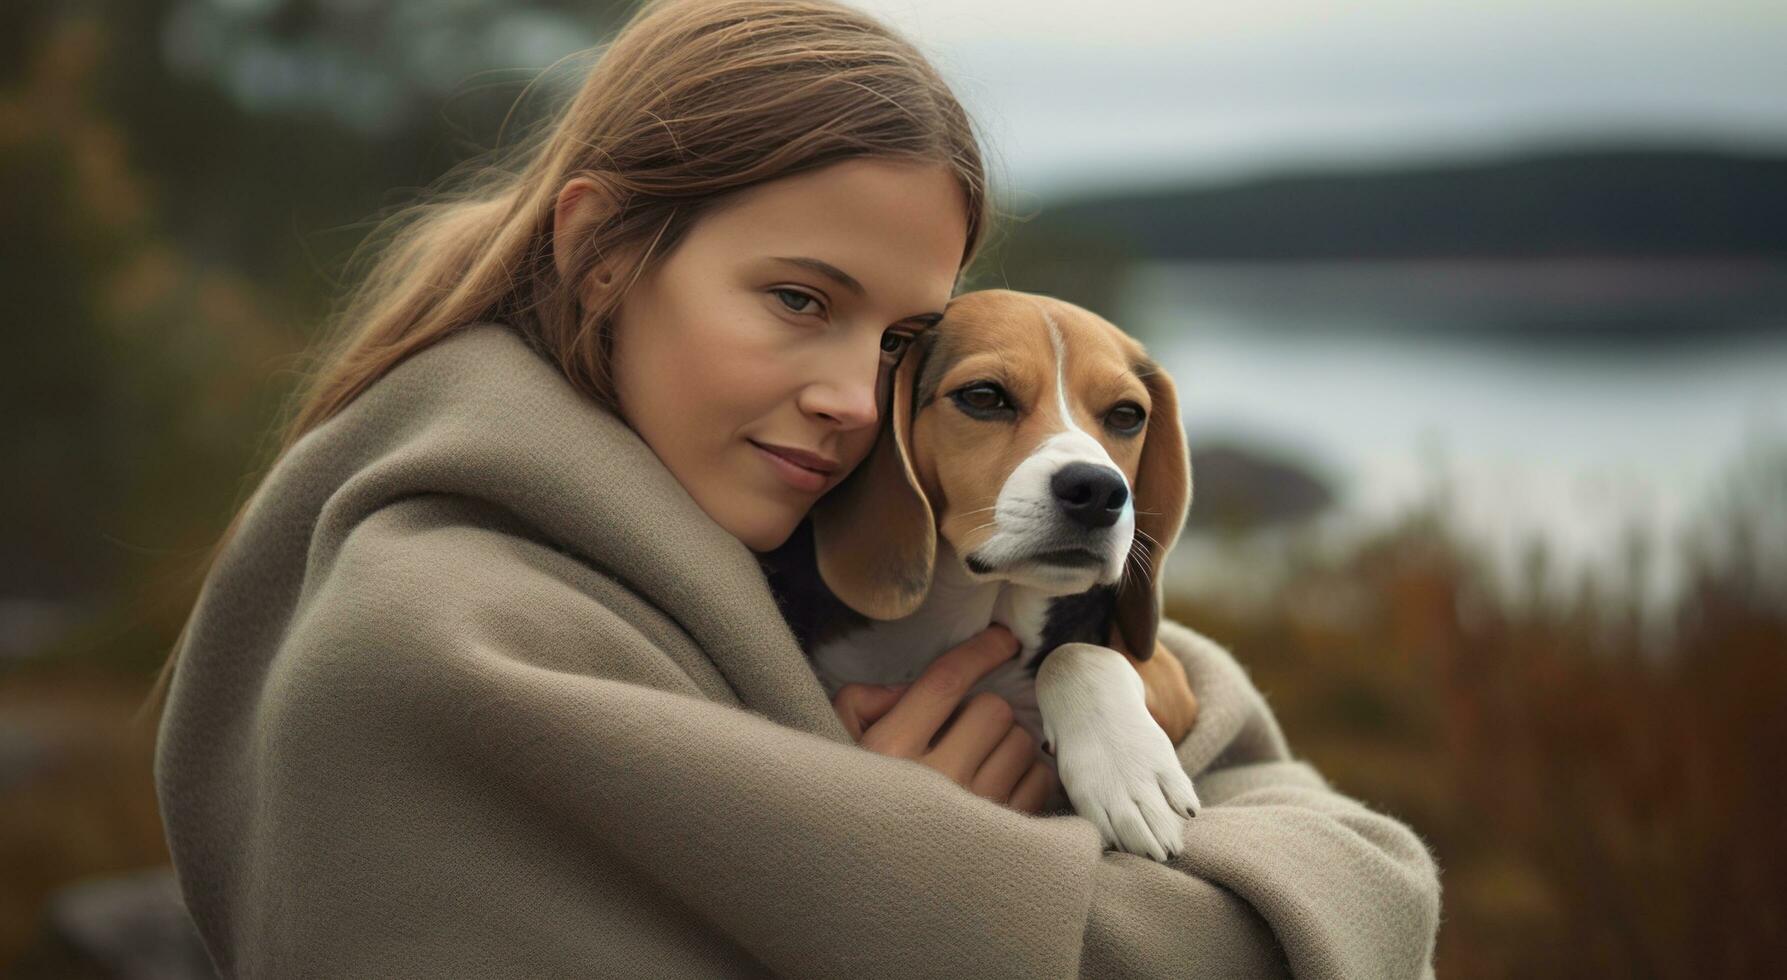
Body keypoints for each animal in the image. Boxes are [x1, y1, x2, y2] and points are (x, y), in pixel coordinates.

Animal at [782, 287, 1200, 861]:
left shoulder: (1172, 681)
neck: (976, 608)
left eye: (1126, 415)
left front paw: (1129, 774)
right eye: (983, 396)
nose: (1098, 491)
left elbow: (1074, 655)